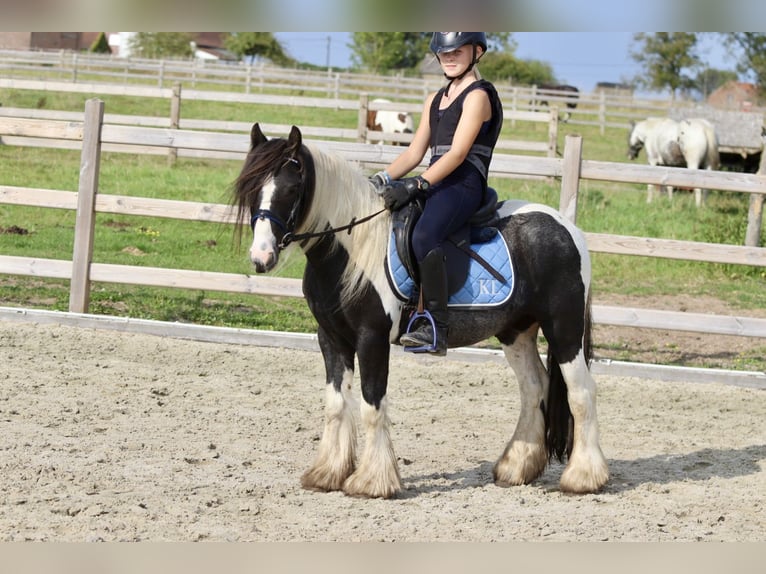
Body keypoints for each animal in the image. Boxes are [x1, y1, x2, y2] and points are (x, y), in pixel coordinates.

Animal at [231, 125, 608, 500]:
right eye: (251, 187)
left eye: (291, 189)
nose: (261, 257)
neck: (351, 252)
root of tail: (566, 227)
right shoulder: (331, 338)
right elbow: (336, 404)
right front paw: (327, 473)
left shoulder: (371, 338)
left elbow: (372, 405)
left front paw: (372, 481)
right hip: (516, 330)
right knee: (534, 387)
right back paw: (516, 467)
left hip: (563, 327)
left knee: (581, 392)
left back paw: (583, 477)